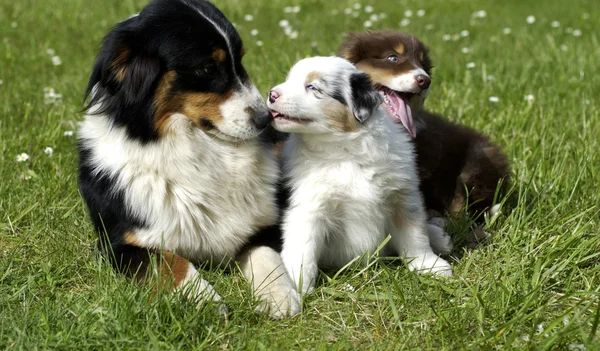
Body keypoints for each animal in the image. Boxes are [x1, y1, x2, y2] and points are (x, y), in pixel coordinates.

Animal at [268, 57, 450, 294]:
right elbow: (302, 248)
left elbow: (415, 235)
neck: (346, 151)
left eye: (313, 87)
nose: (271, 94)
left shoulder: (402, 195)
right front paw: (296, 284)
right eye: (288, 80)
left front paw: (429, 266)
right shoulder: (308, 207)